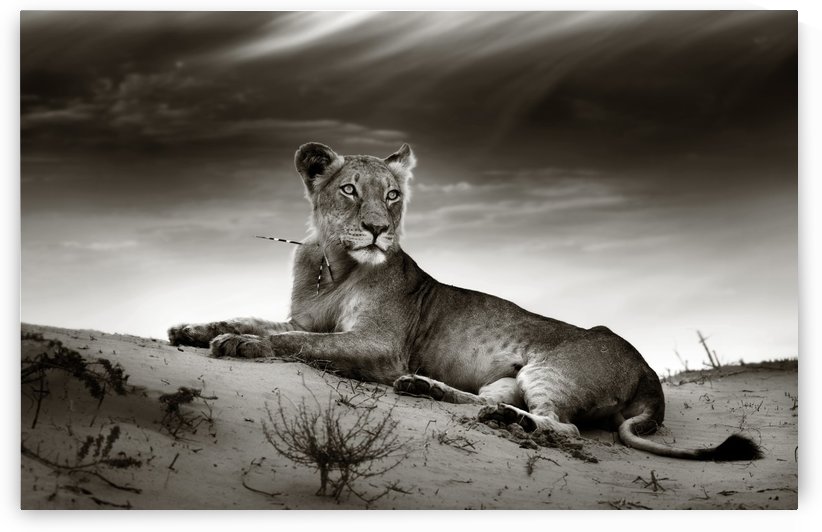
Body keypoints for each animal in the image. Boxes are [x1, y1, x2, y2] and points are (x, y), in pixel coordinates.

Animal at [169, 142, 761, 461]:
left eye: (392, 195)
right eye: (349, 190)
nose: (379, 230)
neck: (333, 264)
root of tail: (650, 377)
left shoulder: (380, 345)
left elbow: (299, 342)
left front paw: (241, 345)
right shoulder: (306, 316)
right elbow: (263, 320)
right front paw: (193, 330)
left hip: (552, 369)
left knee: (562, 427)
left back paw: (505, 421)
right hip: (508, 377)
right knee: (486, 400)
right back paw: (430, 391)